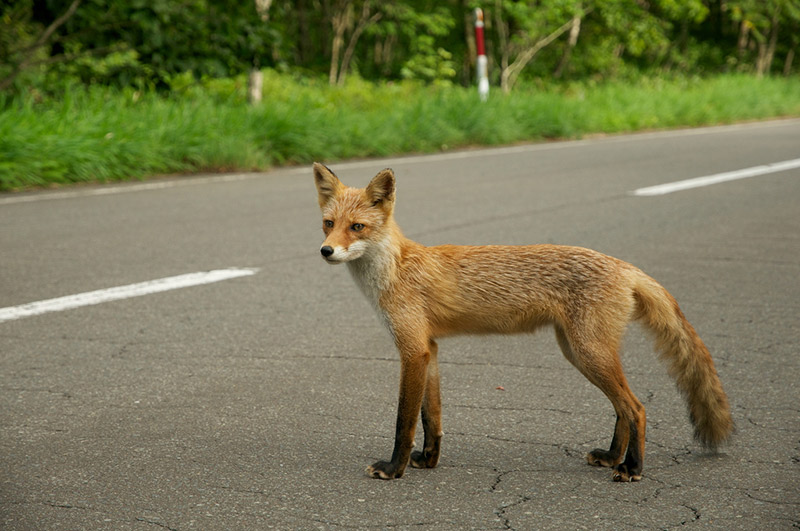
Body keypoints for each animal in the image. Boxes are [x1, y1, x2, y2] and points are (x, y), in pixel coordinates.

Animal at [310, 162, 732, 482]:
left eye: (357, 228)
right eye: (328, 223)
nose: (326, 251)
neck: (395, 270)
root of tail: (623, 265)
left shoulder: (412, 349)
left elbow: (405, 421)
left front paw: (393, 468)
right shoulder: (429, 348)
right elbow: (433, 417)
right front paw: (428, 460)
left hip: (588, 352)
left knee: (637, 408)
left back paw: (632, 468)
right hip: (578, 352)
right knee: (622, 408)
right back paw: (613, 457)